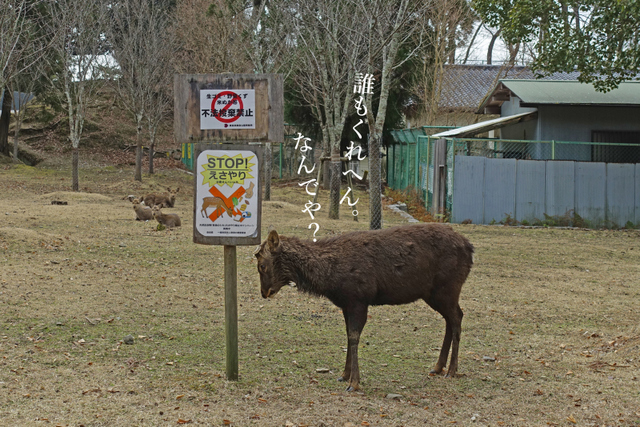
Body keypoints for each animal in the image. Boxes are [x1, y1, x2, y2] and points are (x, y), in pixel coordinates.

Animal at [255, 226, 476, 392]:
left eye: (262, 265)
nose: (264, 292)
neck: (329, 277)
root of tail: (470, 248)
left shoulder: (359, 299)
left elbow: (354, 337)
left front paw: (354, 383)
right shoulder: (346, 304)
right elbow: (348, 335)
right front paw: (344, 375)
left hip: (448, 287)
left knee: (457, 316)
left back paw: (452, 370)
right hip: (434, 294)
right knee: (450, 319)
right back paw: (438, 367)